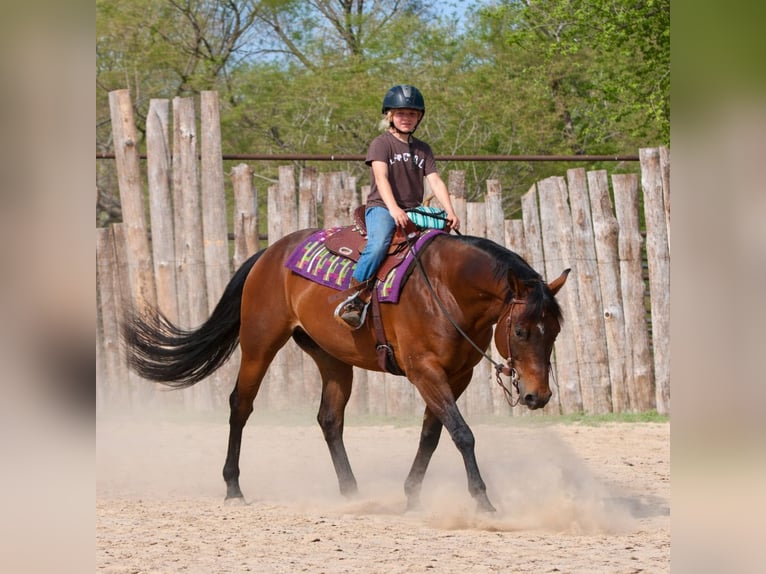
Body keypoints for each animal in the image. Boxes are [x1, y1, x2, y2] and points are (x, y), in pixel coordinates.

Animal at [122, 228, 569, 512]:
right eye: (522, 331)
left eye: (555, 331)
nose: (538, 396)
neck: (445, 290)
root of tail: (271, 253)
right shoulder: (425, 371)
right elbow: (461, 433)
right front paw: (482, 499)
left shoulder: (456, 377)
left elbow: (432, 434)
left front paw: (411, 494)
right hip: (259, 343)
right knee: (240, 406)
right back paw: (233, 486)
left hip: (332, 358)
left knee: (329, 419)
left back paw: (352, 491)